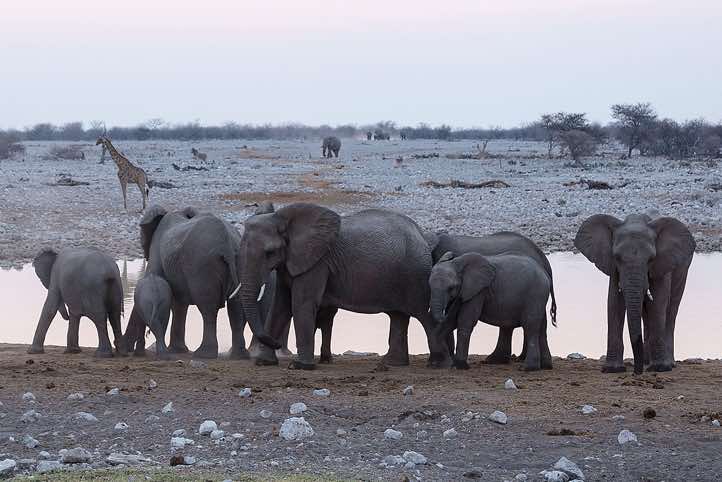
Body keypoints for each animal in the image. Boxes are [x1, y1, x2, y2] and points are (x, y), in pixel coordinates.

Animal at [127, 204, 279, 359]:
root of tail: (227, 243)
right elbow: (178, 303)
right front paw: (178, 350)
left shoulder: (157, 249)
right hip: (240, 261)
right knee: (235, 306)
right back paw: (239, 356)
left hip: (202, 266)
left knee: (208, 307)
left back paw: (204, 354)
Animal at [239, 203, 450, 370]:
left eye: (270, 252)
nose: (276, 343)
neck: (285, 219)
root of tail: (422, 235)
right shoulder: (291, 262)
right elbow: (280, 307)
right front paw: (264, 362)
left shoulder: (317, 262)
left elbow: (301, 304)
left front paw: (299, 366)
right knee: (398, 316)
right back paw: (392, 364)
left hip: (415, 274)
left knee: (423, 314)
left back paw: (438, 364)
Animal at [428, 231, 557, 364]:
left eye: (451, 288)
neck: (458, 263)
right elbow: (455, 318)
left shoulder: (479, 290)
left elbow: (466, 319)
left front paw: (459, 364)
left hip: (534, 292)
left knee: (530, 322)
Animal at [574, 213, 695, 374]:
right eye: (617, 257)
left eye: (651, 259)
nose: (636, 372)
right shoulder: (614, 268)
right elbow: (614, 303)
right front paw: (612, 369)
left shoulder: (662, 264)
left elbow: (658, 304)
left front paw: (660, 368)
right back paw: (646, 361)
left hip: (682, 268)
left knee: (671, 310)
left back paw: (666, 363)